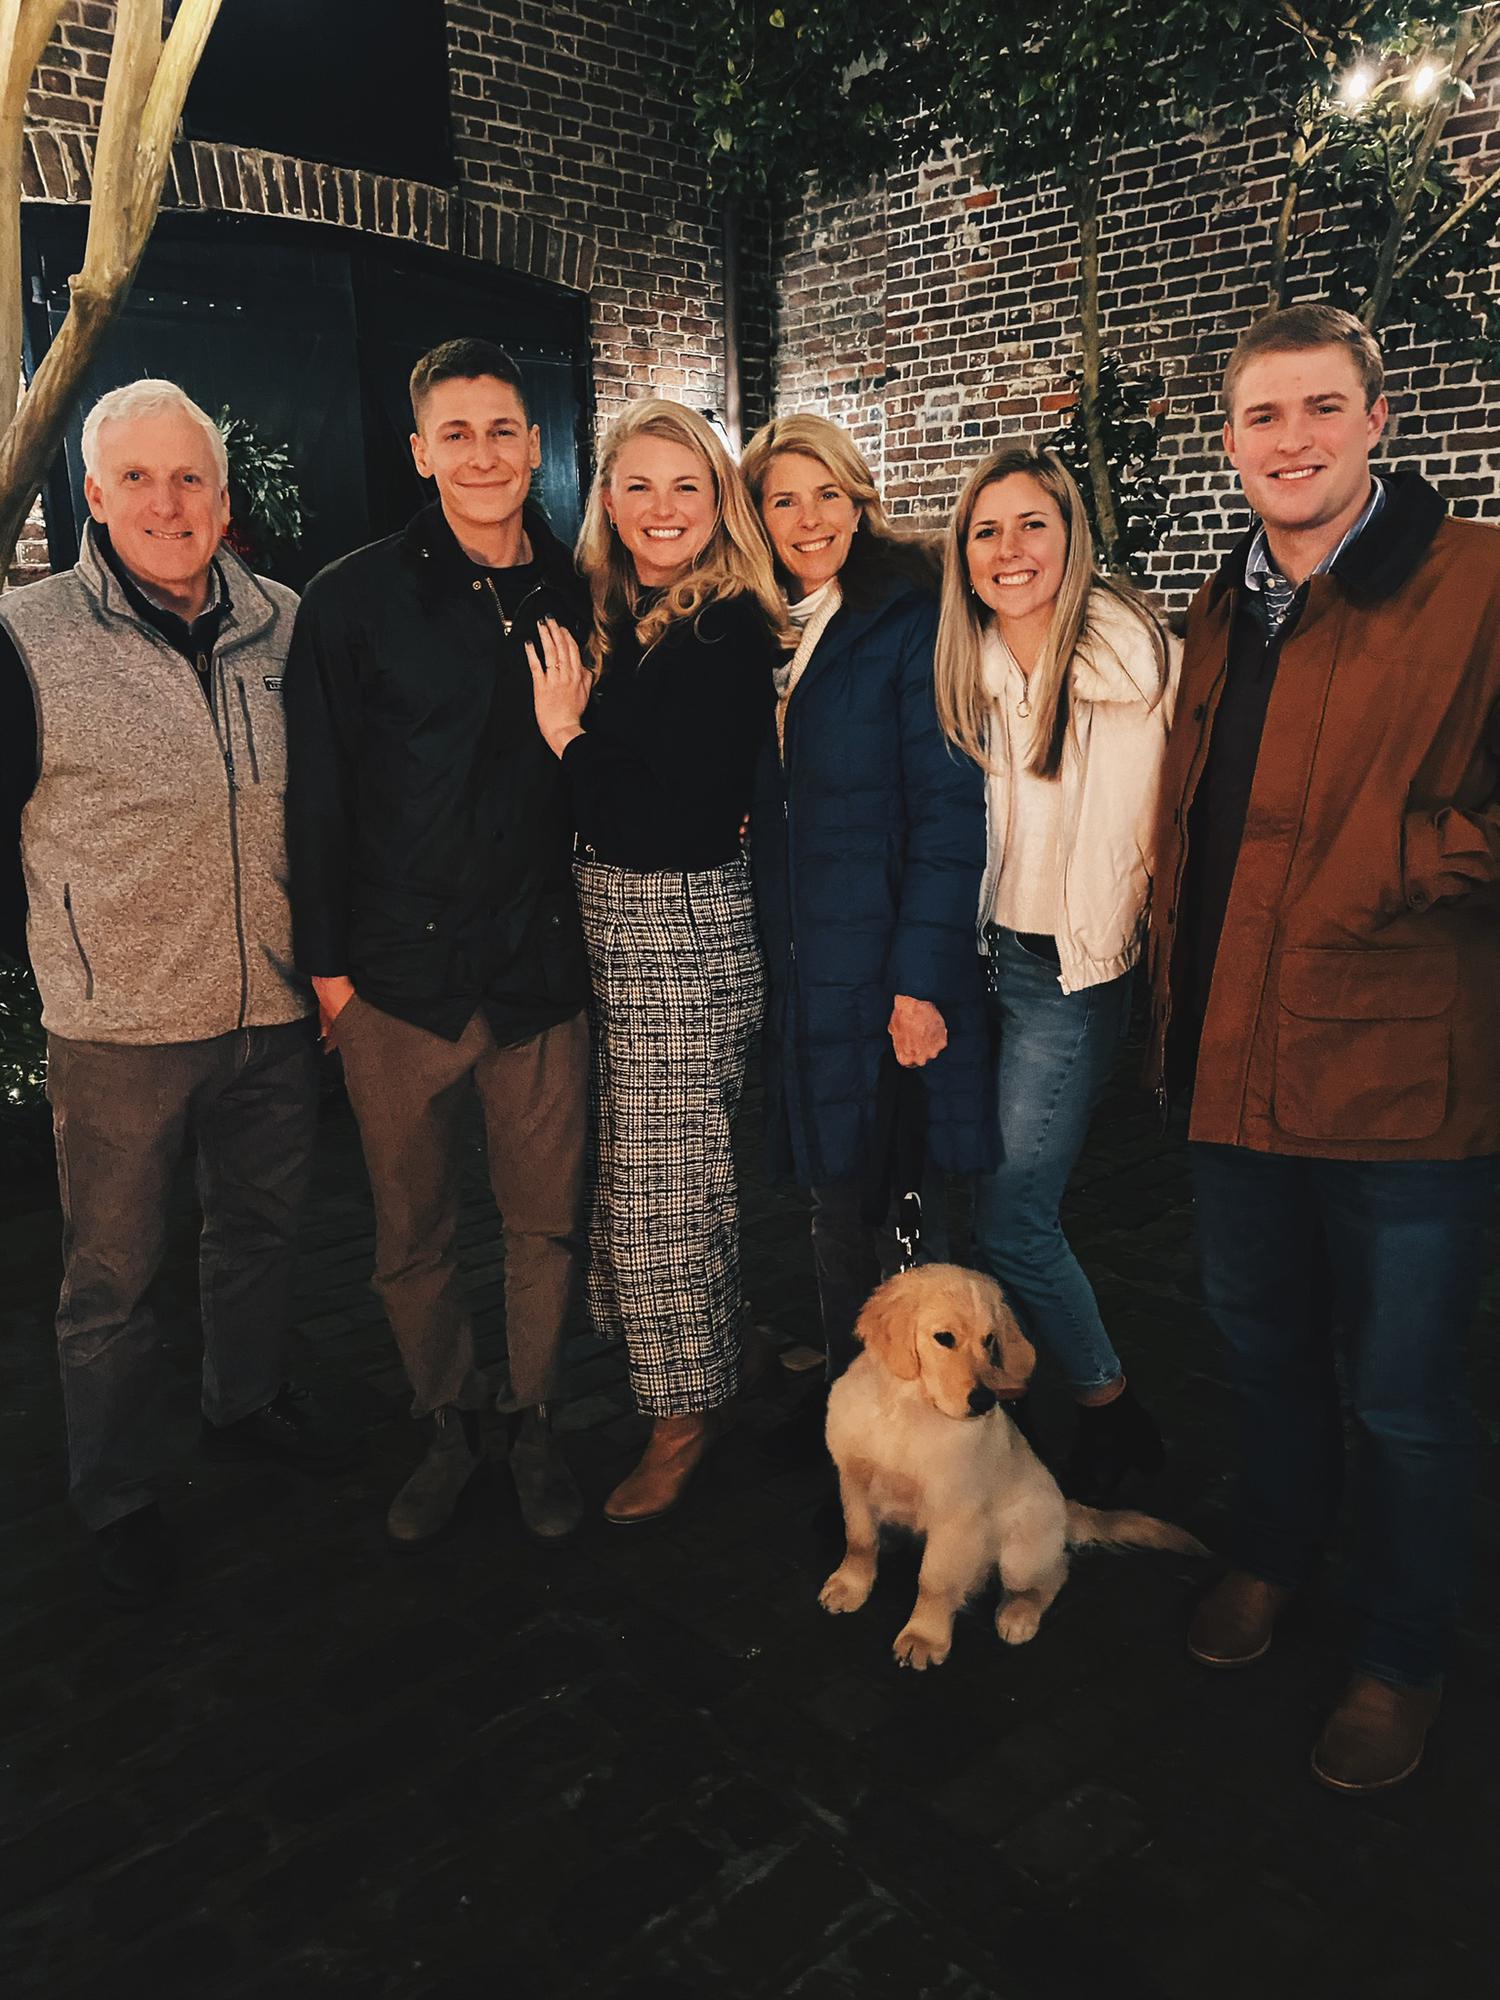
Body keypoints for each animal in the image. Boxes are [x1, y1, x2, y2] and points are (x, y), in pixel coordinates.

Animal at [820, 1263, 1206, 1669]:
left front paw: (924, 1636)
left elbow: (935, 1581)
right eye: (944, 1338)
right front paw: (850, 1585)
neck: (907, 1409)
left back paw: (1018, 1614)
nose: (984, 1400)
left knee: (1053, 1573)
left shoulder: (954, 1511)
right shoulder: (853, 1481)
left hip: (1020, 1551)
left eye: (989, 1340)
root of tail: (1065, 1508)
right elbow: (860, 1541)